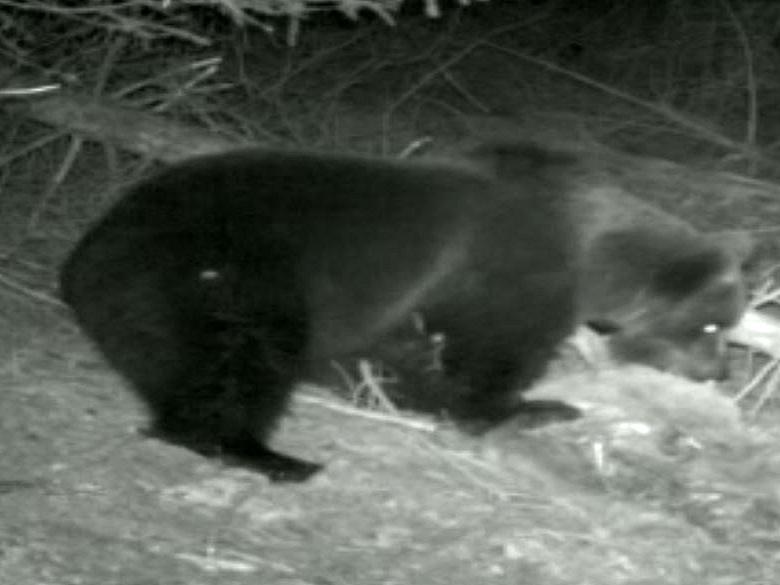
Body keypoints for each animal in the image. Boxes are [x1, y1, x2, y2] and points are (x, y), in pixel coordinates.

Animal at [61, 140, 748, 480]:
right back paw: (270, 455)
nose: (720, 372)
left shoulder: (406, 300)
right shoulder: (511, 277)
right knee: (236, 360)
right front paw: (529, 407)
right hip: (222, 276)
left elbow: (393, 353)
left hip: (155, 298)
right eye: (713, 325)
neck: (592, 254)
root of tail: (87, 252)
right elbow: (492, 352)